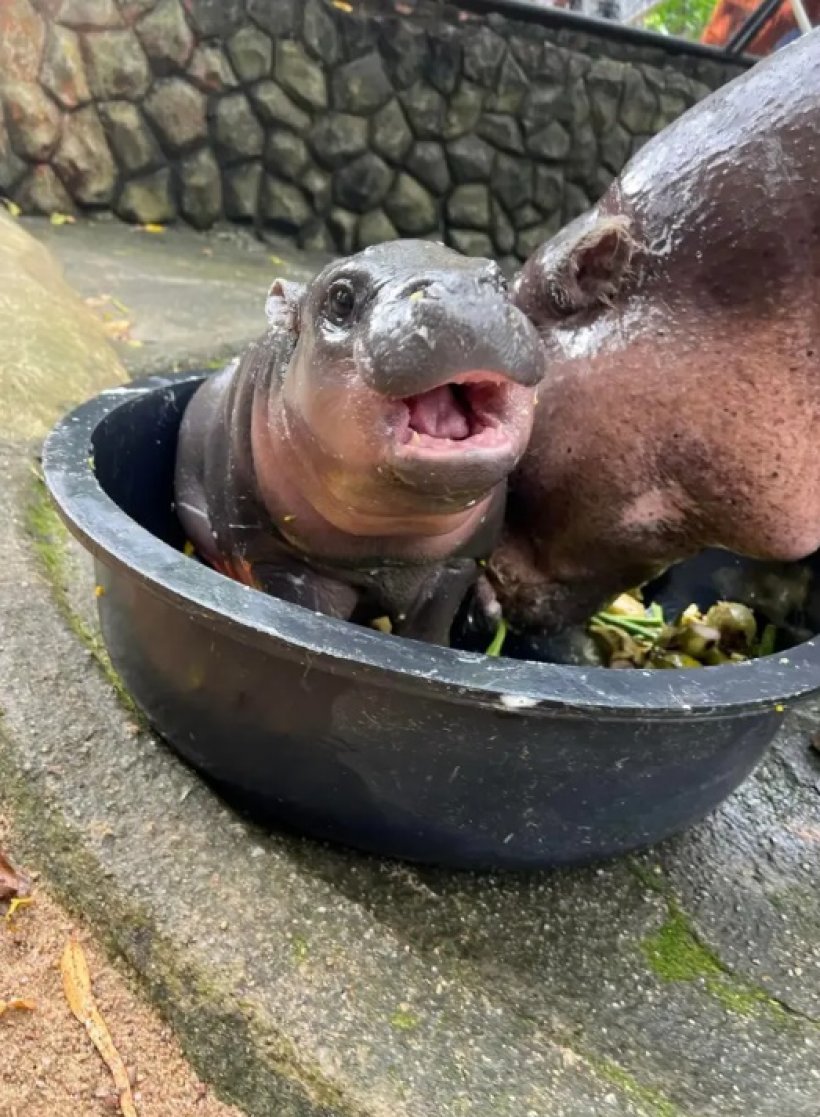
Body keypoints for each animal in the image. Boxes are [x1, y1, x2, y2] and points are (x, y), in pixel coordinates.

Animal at [175, 242, 545, 647]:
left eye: (502, 282)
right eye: (340, 297)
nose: (459, 292)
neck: (390, 539)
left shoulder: (455, 565)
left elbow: (429, 627)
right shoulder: (282, 564)